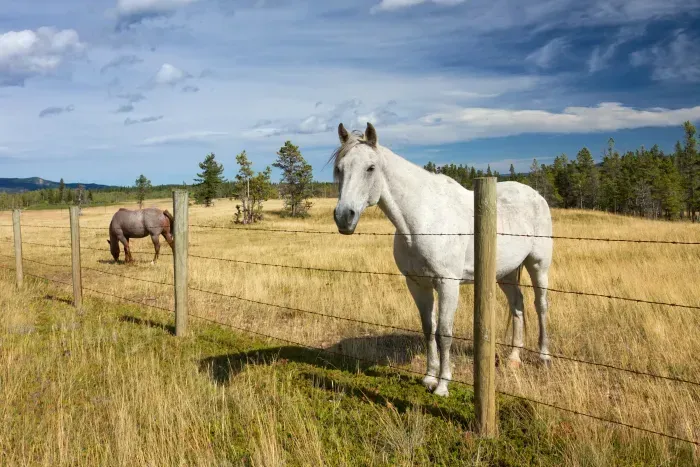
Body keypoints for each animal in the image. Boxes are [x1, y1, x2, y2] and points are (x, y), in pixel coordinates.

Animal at [330, 122, 553, 397]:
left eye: (370, 167)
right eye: (339, 169)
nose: (344, 217)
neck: (423, 219)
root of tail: (536, 195)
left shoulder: (448, 284)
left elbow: (445, 332)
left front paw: (443, 384)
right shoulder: (417, 284)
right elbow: (429, 328)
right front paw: (428, 377)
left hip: (538, 265)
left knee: (540, 305)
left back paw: (544, 357)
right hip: (506, 273)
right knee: (517, 305)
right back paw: (513, 358)